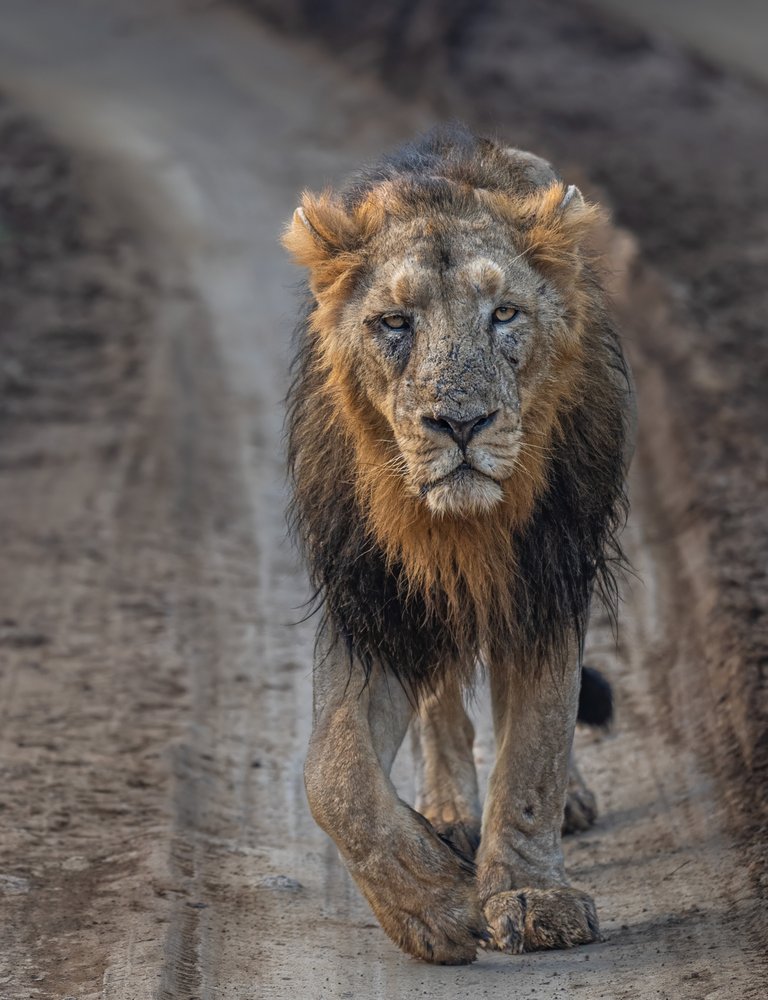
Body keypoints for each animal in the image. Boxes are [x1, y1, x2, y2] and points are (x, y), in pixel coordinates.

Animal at [283, 126, 633, 964]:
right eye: (394, 323)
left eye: (504, 313)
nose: (461, 423)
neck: (460, 526)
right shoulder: (371, 599)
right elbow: (332, 775)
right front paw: (432, 902)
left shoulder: (548, 579)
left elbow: (537, 742)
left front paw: (533, 896)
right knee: (440, 701)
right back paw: (446, 815)